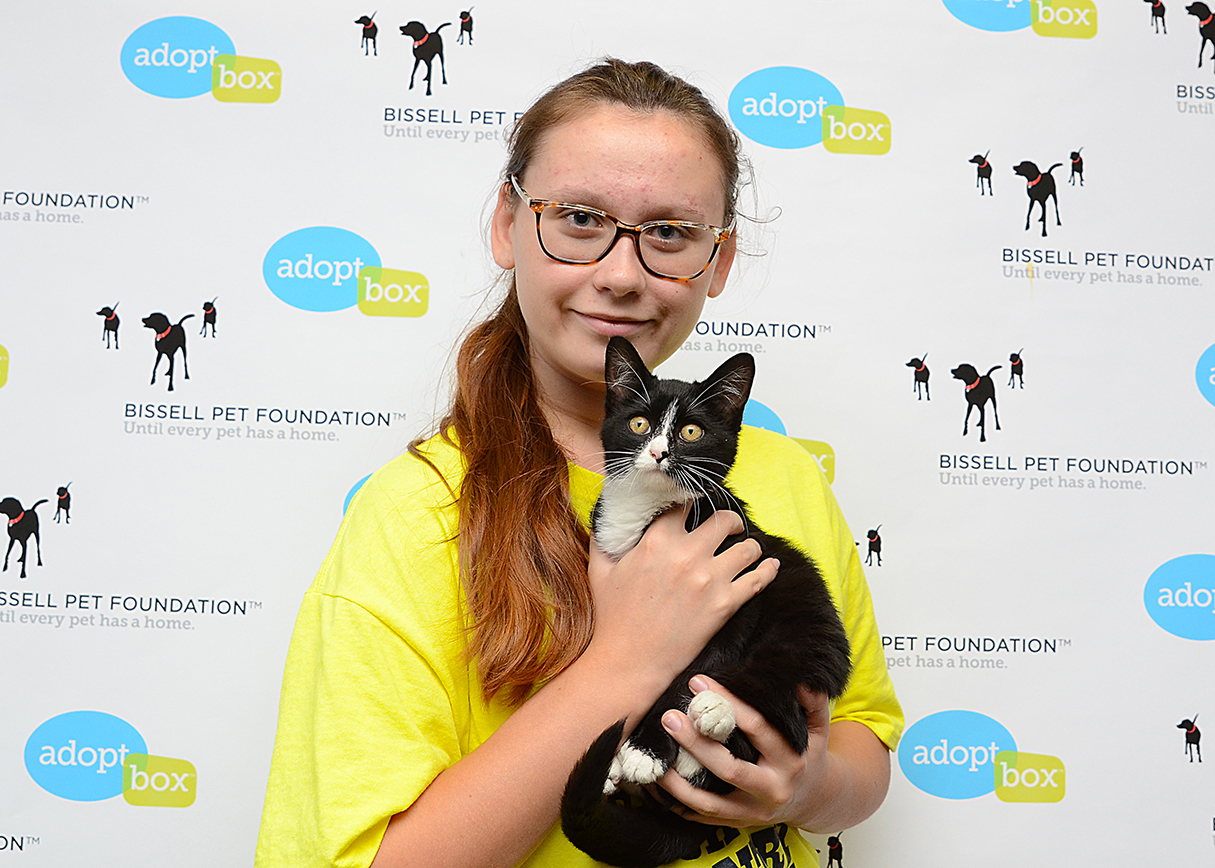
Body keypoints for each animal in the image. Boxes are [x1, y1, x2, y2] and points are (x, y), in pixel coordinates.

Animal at [560, 336, 853, 868]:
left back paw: (712, 718)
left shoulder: (741, 585)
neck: (649, 516)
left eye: (692, 431)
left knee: (783, 703)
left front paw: (645, 751)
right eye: (639, 424)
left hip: (805, 612)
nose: (659, 452)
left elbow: (692, 667)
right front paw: (635, 754)